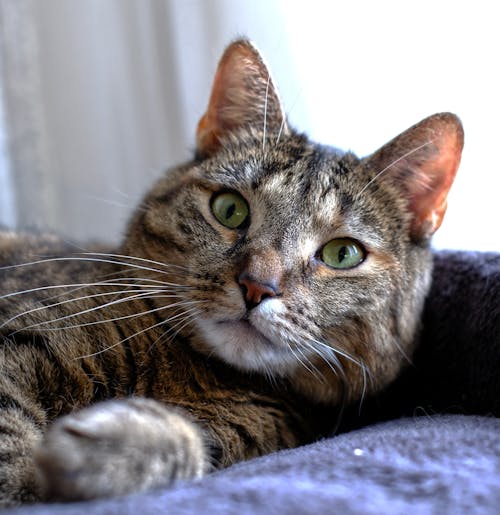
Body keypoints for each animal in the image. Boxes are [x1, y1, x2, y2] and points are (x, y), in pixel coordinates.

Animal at [0, 40, 464, 508]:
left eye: (342, 253)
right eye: (229, 208)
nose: (257, 286)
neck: (192, 375)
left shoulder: (253, 431)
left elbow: (193, 442)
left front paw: (115, 448)